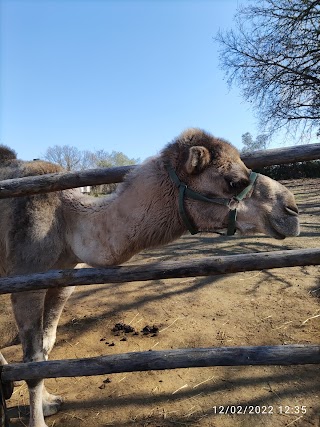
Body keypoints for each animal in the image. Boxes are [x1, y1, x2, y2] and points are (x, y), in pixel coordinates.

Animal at [0, 129, 300, 426]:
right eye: (233, 181)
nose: (291, 209)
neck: (67, 222)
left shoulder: (63, 280)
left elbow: (46, 346)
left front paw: (49, 402)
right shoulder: (27, 282)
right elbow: (33, 359)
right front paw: (38, 419)